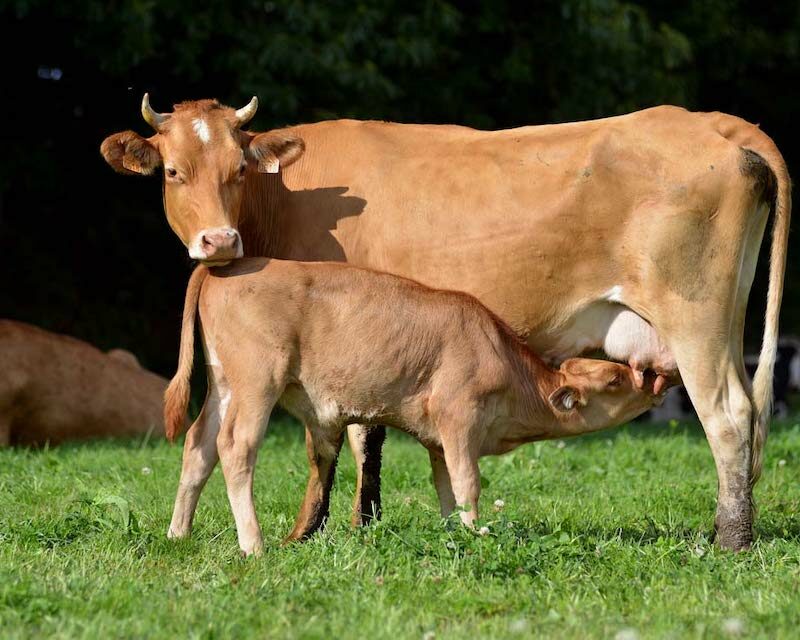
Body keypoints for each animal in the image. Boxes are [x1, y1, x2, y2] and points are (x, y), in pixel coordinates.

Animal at [161, 258, 664, 556]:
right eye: (616, 379)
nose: (652, 380)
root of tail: (228, 267)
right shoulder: (459, 417)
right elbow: (468, 482)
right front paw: (478, 532)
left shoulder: (439, 438)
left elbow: (445, 487)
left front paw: (453, 531)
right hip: (257, 381)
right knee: (235, 448)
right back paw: (254, 544)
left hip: (222, 384)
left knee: (198, 446)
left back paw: (178, 533)